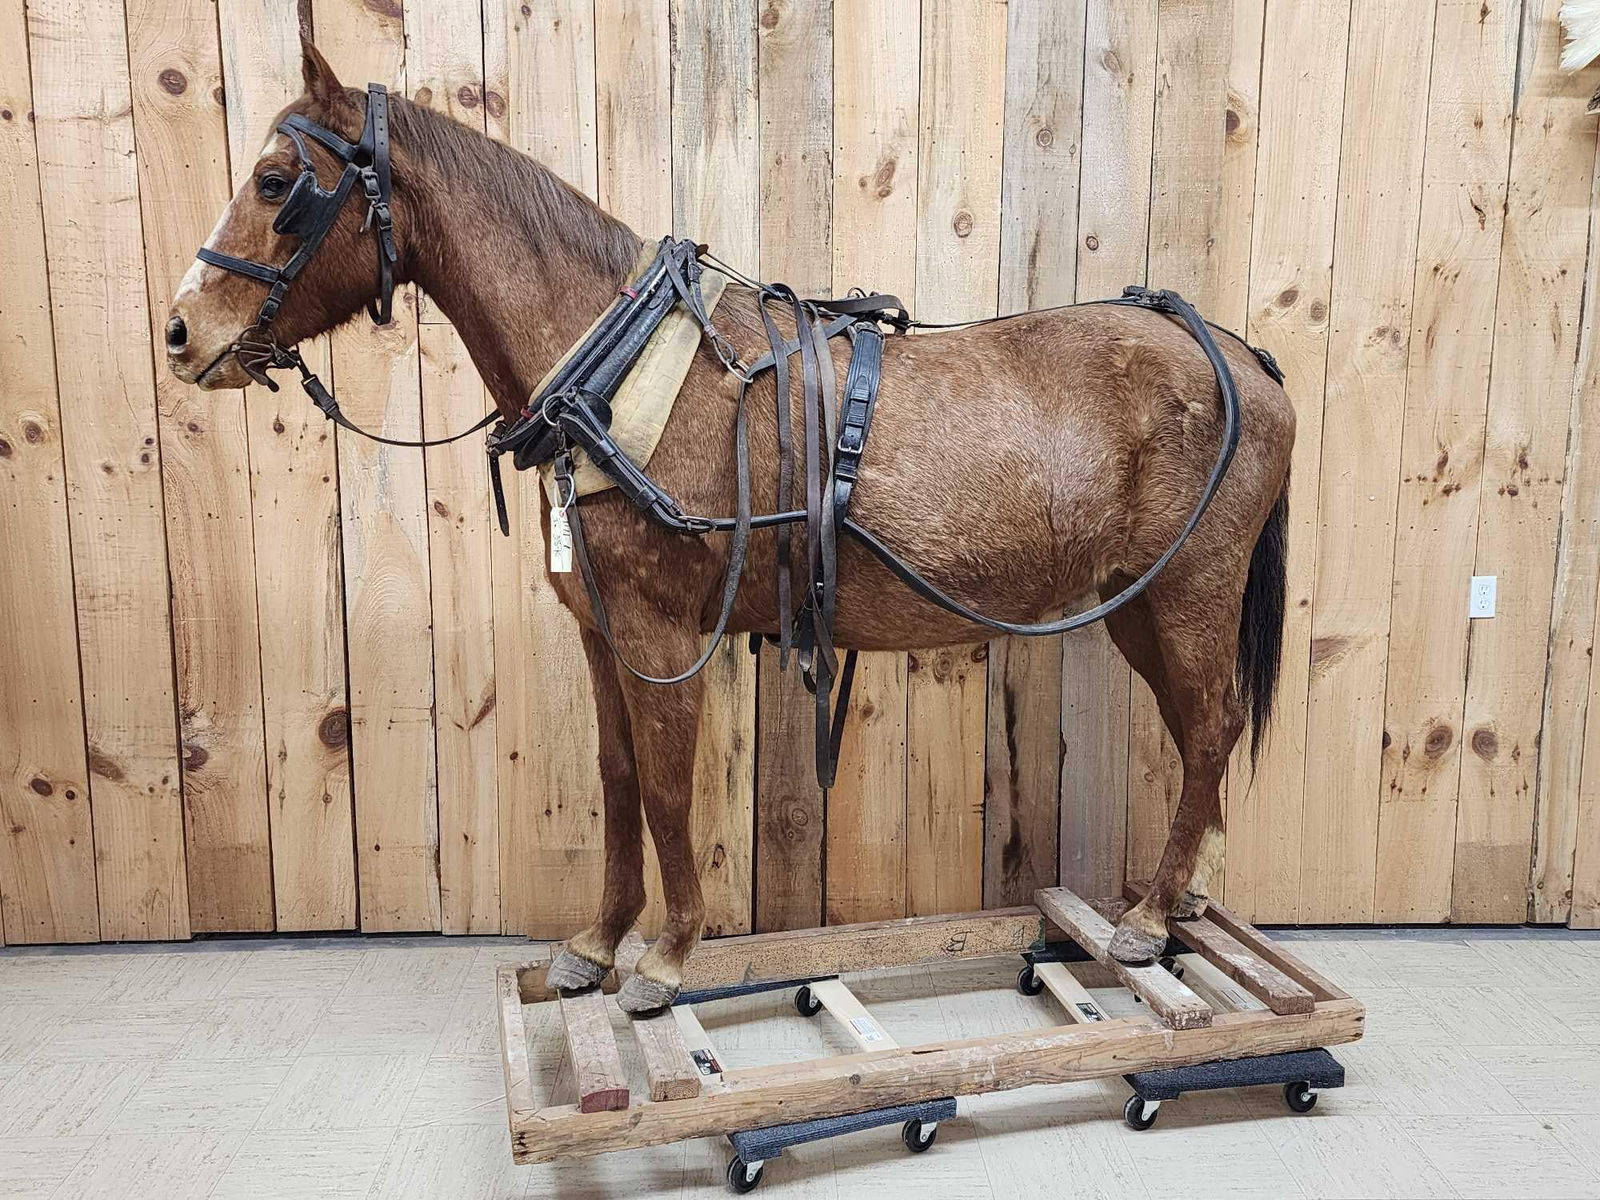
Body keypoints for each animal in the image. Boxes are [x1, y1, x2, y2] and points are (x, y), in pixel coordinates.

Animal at [167, 41, 1294, 1014]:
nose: (181, 334)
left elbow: (669, 790)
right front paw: (596, 944)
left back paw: (1147, 917)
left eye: (276, 182)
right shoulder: (604, 630)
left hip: (1189, 591)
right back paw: (1186, 895)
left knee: (1210, 727)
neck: (618, 375)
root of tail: (1238, 357)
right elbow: (620, 780)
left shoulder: (665, 632)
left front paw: (666, 957)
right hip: (1136, 603)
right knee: (1204, 728)